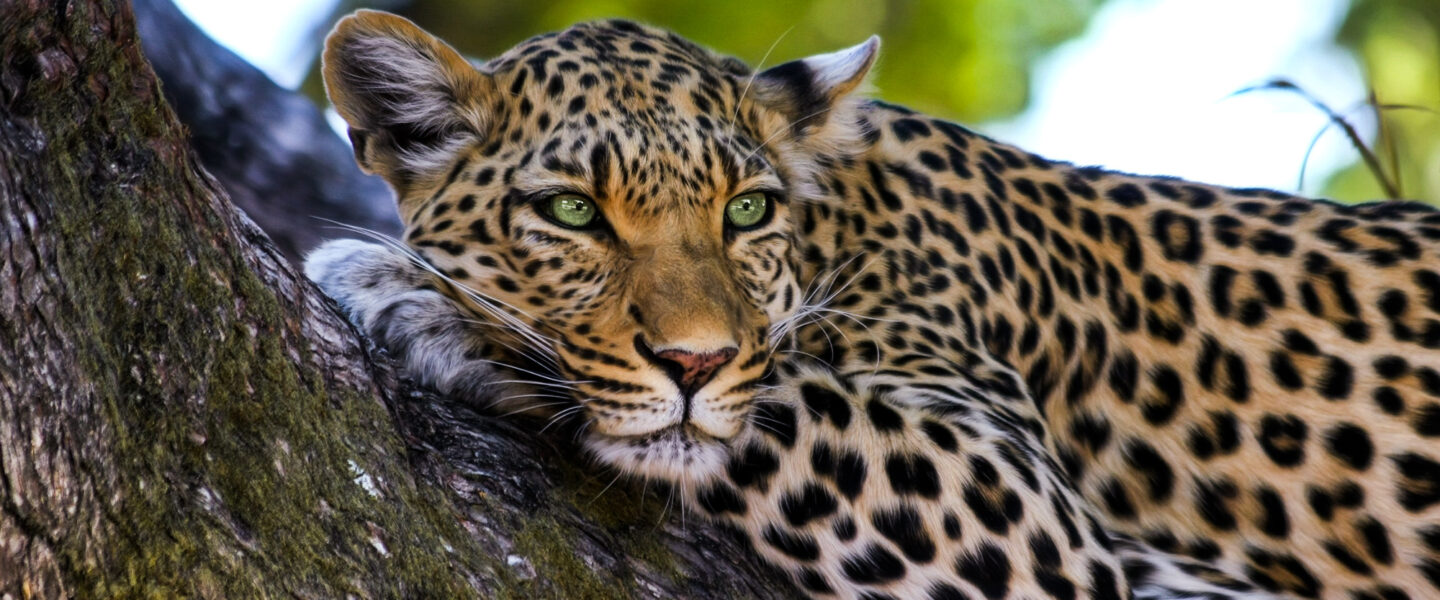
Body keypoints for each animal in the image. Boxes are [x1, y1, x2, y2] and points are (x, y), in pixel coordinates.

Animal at [305, 10, 1440, 600]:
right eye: (574, 211)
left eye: (747, 209)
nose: (694, 363)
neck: (839, 226)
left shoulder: (1032, 515)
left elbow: (784, 400)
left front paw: (420, 300)